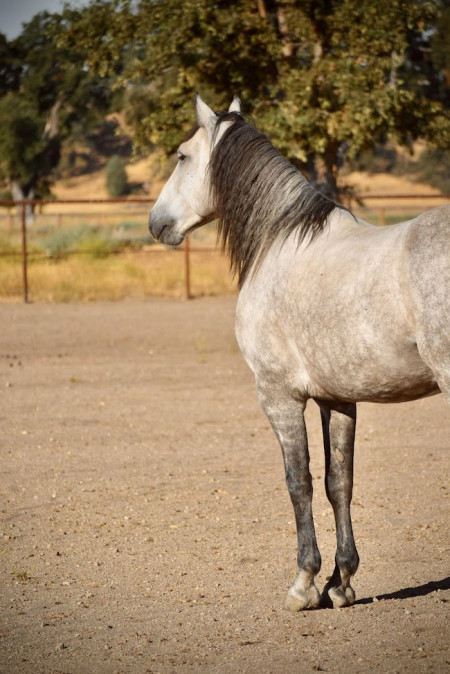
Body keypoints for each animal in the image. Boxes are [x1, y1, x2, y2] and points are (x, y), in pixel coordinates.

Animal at [149, 93, 450, 608]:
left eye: (182, 155)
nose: (156, 223)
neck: (282, 242)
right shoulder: (339, 398)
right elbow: (338, 482)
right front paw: (340, 582)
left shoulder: (278, 396)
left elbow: (299, 482)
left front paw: (305, 583)